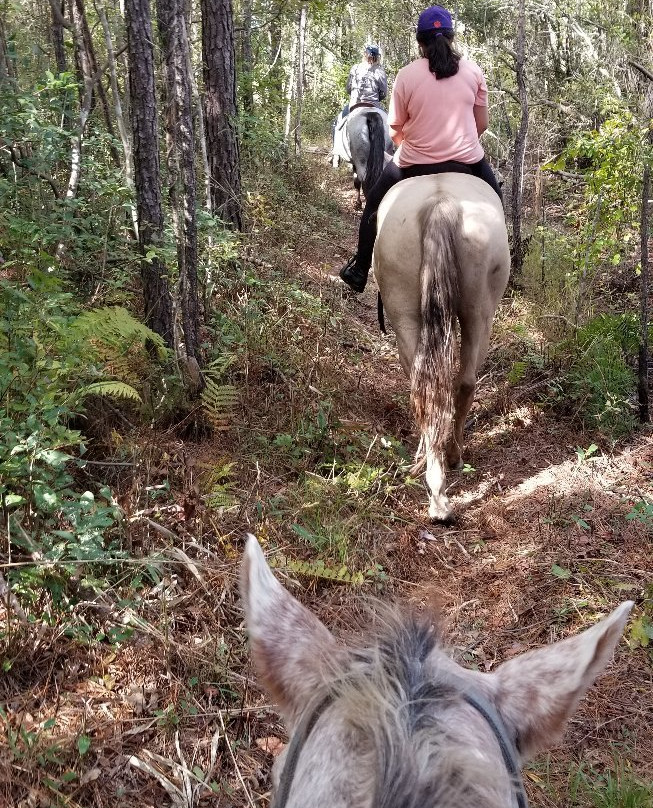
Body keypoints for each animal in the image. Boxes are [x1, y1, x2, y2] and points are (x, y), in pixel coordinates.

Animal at [373, 173, 510, 521]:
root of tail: (440, 204)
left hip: (406, 312)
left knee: (428, 386)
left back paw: (439, 473)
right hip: (478, 312)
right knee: (458, 383)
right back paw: (445, 470)